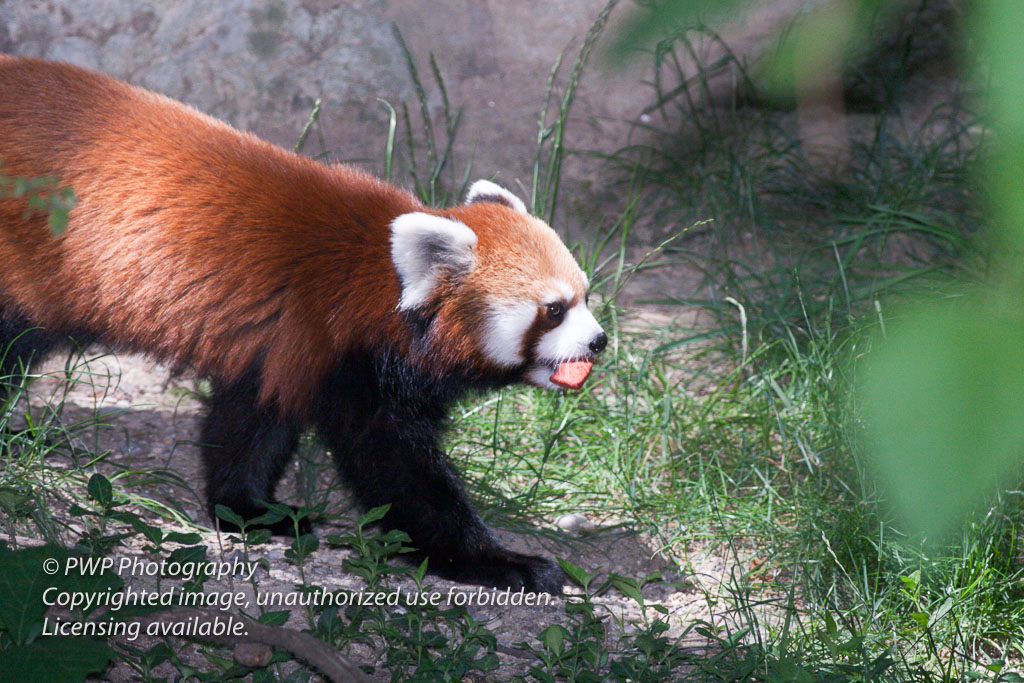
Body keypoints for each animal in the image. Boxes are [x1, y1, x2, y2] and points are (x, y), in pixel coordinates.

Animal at [0, 57, 606, 593]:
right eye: (554, 310)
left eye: (585, 296)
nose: (599, 341)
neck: (375, 281)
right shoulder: (345, 354)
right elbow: (399, 473)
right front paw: (497, 561)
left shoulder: (279, 347)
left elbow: (249, 425)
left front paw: (248, 509)